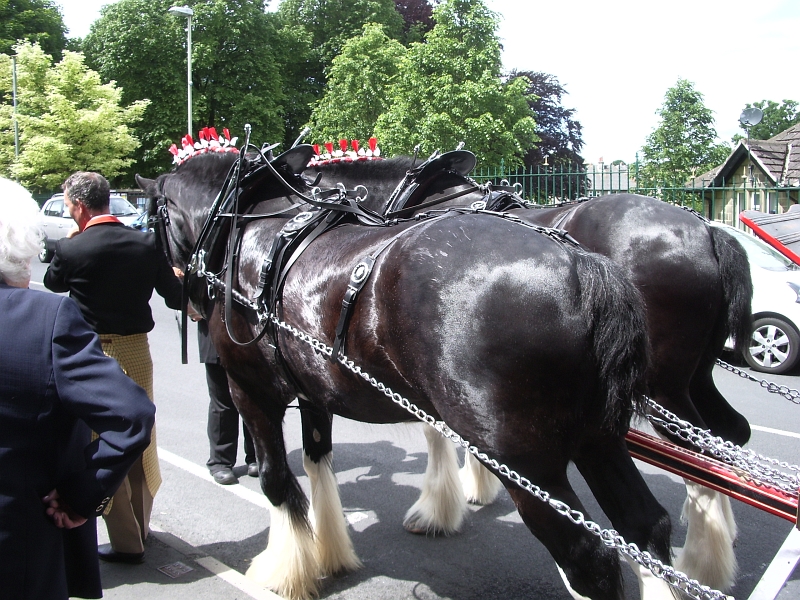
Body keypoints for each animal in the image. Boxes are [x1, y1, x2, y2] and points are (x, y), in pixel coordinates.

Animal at [138, 149, 676, 600]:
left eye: (152, 218)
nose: (179, 296)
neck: (254, 231)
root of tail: (582, 264)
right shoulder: (314, 391)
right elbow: (317, 461)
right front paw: (330, 552)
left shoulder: (250, 388)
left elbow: (277, 481)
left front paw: (285, 570)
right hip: (598, 439)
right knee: (645, 528)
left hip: (527, 464)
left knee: (589, 559)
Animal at [310, 154, 752, 592]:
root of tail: (707, 231)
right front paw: (471, 489)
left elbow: (436, 430)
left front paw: (439, 506)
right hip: (696, 377)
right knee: (729, 434)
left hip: (664, 391)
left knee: (700, 454)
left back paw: (701, 562)